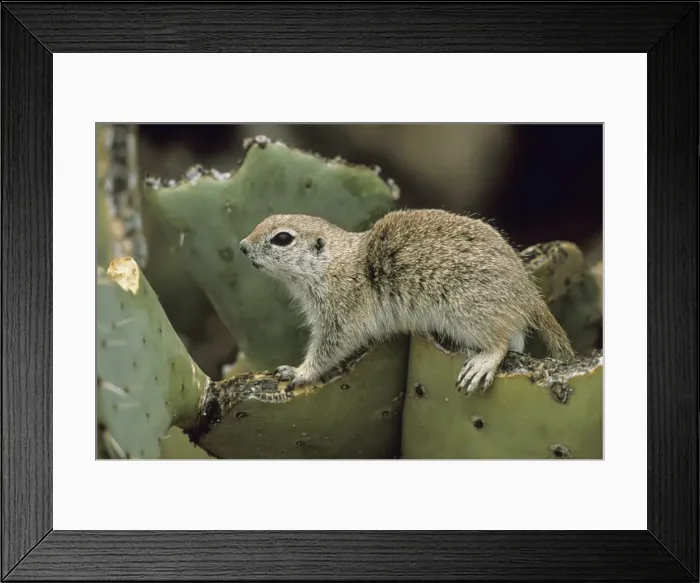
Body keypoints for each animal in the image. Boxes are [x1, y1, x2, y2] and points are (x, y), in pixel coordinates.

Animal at [239, 208, 575, 395]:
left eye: (282, 239)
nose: (242, 246)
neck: (337, 264)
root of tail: (526, 290)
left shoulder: (340, 315)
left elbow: (328, 350)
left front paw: (298, 372)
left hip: (469, 311)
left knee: (501, 342)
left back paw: (484, 361)